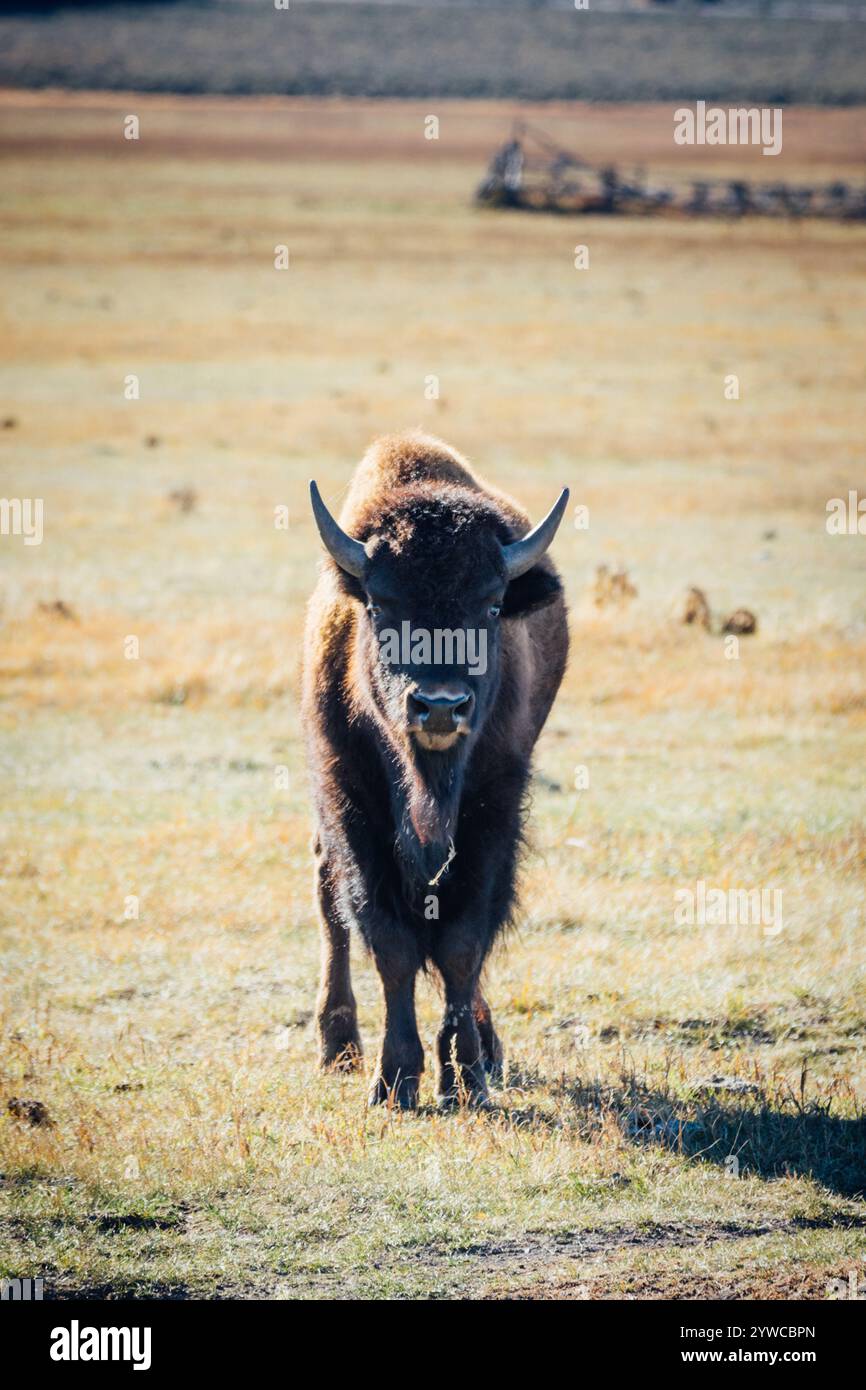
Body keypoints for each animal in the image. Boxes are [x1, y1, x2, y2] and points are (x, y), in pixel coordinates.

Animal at [303, 431, 569, 1108]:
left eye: (493, 605)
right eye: (379, 604)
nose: (440, 706)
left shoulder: (493, 813)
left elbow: (462, 944)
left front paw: (467, 1076)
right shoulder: (352, 807)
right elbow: (389, 941)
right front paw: (395, 1080)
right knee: (328, 898)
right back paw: (338, 1047)